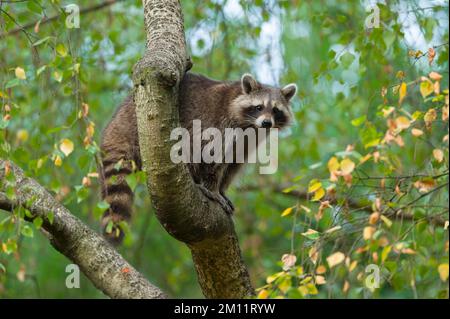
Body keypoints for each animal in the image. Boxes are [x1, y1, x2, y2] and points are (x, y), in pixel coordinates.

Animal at [98, 72, 296, 245]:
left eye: (276, 110)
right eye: (259, 107)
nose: (266, 123)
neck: (250, 125)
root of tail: (118, 121)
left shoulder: (247, 142)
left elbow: (232, 165)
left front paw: (223, 189)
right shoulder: (220, 124)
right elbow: (213, 159)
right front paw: (213, 189)